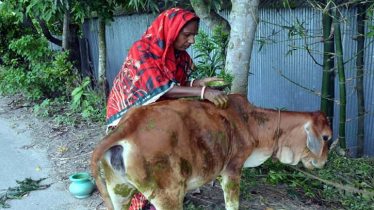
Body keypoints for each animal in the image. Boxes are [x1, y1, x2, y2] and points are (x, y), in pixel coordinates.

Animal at [90, 94, 330, 210]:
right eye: (326, 137)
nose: (325, 162)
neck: (251, 121)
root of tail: (129, 124)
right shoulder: (233, 169)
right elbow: (233, 204)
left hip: (118, 189)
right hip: (168, 195)